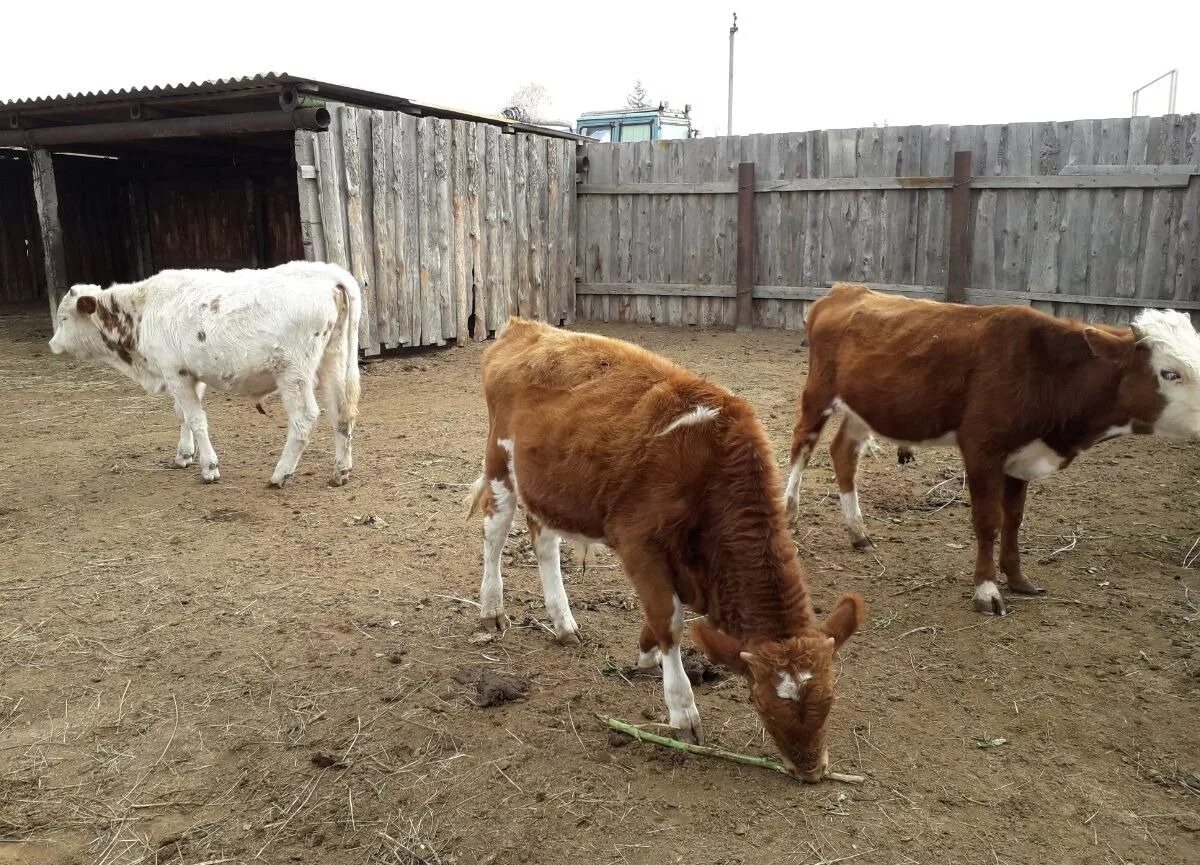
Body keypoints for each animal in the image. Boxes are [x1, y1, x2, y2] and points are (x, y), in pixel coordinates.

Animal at [46, 260, 362, 484]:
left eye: (63, 318)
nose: (52, 344)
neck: (145, 309)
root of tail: (330, 274)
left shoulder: (175, 373)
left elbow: (197, 420)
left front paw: (209, 467)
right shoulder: (188, 375)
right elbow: (183, 416)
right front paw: (184, 455)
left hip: (293, 373)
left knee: (305, 418)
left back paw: (281, 474)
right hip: (334, 361)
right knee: (342, 413)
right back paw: (340, 471)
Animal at [465, 319, 864, 782]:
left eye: (831, 699)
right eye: (761, 702)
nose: (812, 771)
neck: (710, 467)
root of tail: (526, 326)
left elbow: (664, 617)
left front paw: (645, 653)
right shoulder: (638, 544)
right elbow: (667, 621)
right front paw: (681, 709)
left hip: (550, 486)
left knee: (545, 542)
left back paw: (563, 622)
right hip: (500, 463)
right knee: (494, 533)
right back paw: (491, 608)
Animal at [782, 283, 1200, 614]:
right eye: (1170, 372)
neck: (1046, 370)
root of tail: (845, 290)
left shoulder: (1021, 457)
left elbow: (1013, 520)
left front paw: (1017, 578)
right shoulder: (982, 449)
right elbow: (988, 520)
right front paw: (986, 590)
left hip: (865, 406)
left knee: (843, 453)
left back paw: (858, 532)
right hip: (819, 393)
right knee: (802, 445)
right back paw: (789, 511)